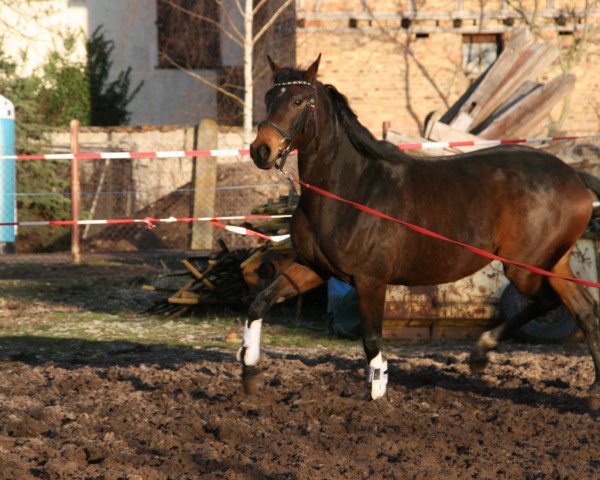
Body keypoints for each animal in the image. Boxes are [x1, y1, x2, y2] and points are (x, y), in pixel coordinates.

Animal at [240, 53, 600, 402]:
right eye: (269, 97)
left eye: (298, 100)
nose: (261, 150)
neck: (350, 188)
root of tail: (575, 179)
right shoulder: (313, 268)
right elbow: (259, 303)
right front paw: (249, 370)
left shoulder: (370, 280)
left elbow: (371, 339)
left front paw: (377, 390)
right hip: (555, 263)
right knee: (586, 312)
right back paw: (594, 391)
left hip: (525, 267)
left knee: (547, 304)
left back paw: (481, 352)